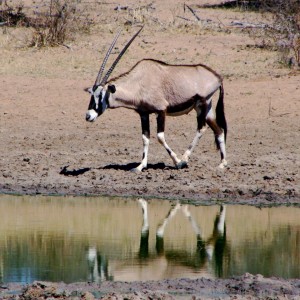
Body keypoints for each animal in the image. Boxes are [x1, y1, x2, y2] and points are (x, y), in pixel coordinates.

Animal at [85, 27, 226, 172]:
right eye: (92, 94)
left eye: (101, 95)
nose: (88, 116)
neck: (139, 82)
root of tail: (217, 77)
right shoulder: (143, 114)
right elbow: (145, 138)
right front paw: (140, 166)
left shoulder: (161, 110)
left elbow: (160, 137)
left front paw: (178, 162)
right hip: (207, 109)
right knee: (219, 131)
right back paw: (222, 163)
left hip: (201, 105)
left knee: (201, 128)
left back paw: (185, 158)